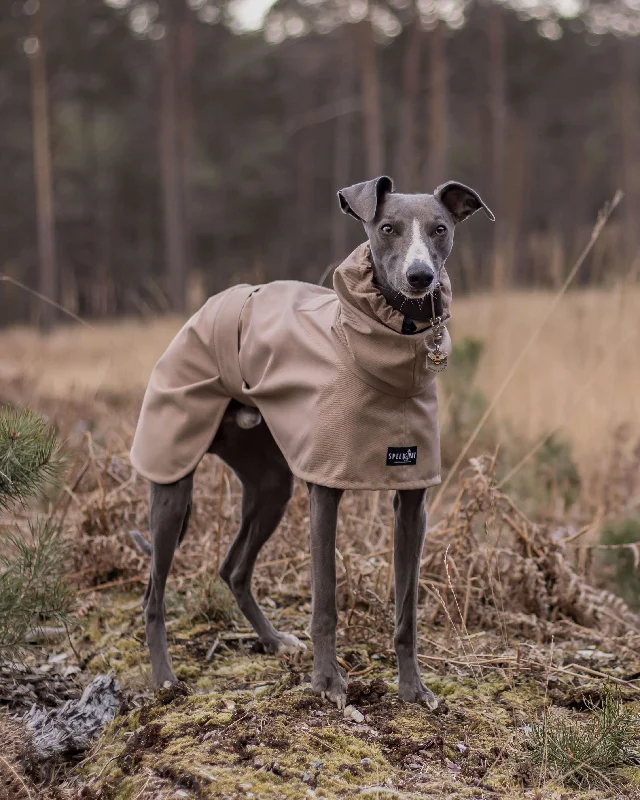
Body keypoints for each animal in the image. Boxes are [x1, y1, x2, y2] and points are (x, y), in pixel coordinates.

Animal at [139, 177, 496, 712]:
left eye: (440, 228)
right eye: (386, 228)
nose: (419, 277)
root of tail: (214, 305)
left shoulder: (412, 502)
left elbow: (407, 614)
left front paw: (413, 689)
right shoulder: (325, 491)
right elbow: (325, 602)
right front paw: (327, 682)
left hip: (271, 486)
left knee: (233, 569)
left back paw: (271, 640)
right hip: (173, 479)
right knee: (154, 595)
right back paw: (164, 678)